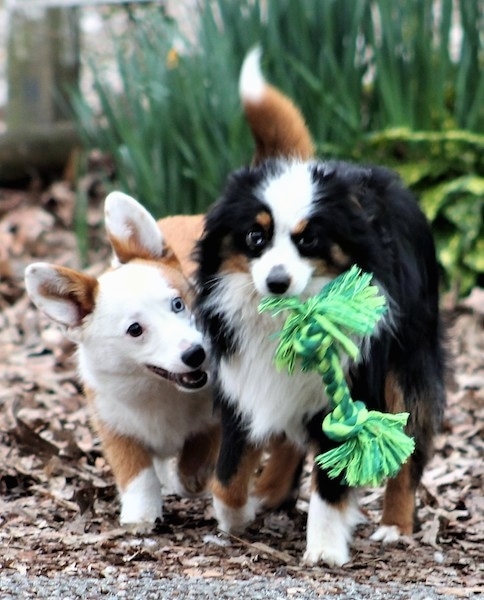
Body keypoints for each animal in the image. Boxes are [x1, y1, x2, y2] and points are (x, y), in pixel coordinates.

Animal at [24, 193, 217, 528]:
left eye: (178, 304)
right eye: (135, 330)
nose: (196, 353)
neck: (159, 390)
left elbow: (193, 463)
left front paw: (188, 480)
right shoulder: (115, 427)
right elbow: (138, 474)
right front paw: (141, 516)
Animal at [195, 49, 444, 564]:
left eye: (309, 240)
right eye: (255, 236)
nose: (277, 281)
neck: (281, 323)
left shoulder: (352, 383)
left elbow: (335, 474)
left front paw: (326, 548)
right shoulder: (241, 377)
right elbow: (227, 473)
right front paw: (236, 516)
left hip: (410, 356)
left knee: (410, 440)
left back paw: (395, 525)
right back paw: (269, 491)